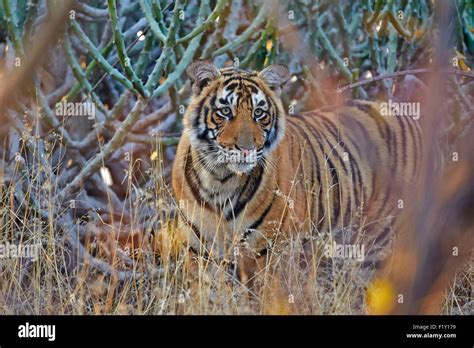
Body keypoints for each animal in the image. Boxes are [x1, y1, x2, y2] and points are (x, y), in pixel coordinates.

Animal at [170, 59, 422, 282]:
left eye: (259, 113)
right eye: (225, 111)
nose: (246, 149)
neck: (220, 179)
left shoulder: (269, 252)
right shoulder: (200, 252)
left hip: (383, 247)